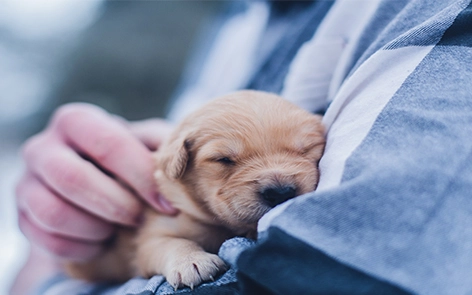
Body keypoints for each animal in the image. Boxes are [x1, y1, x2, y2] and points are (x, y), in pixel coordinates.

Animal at [66, 91, 324, 290]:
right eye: (223, 159)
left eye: (306, 149)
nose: (280, 193)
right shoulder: (152, 234)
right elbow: (170, 243)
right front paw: (191, 262)